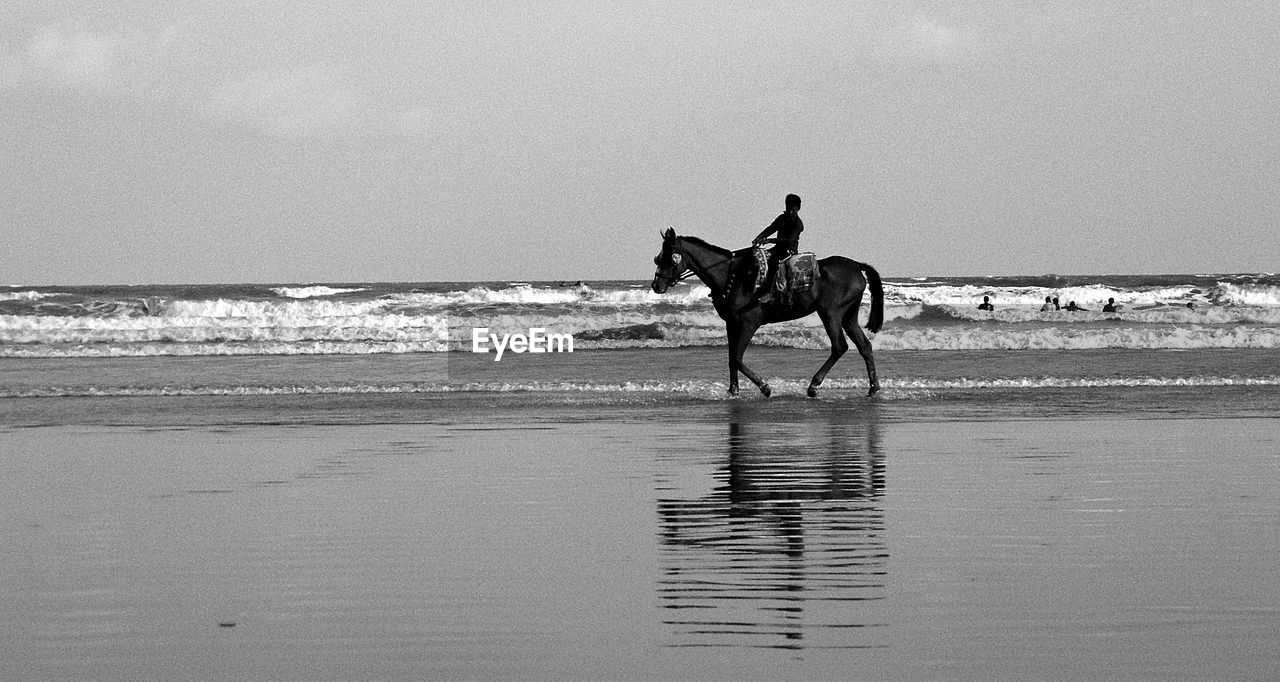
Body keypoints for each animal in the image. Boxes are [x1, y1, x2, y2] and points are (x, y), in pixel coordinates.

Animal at [650, 229, 880, 399]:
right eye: (658, 258)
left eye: (669, 257)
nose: (656, 285)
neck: (731, 276)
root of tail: (857, 266)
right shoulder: (731, 324)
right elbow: (731, 358)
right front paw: (733, 391)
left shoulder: (749, 323)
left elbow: (737, 358)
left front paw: (764, 386)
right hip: (848, 315)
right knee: (864, 346)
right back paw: (873, 387)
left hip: (830, 313)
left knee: (839, 346)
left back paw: (814, 386)